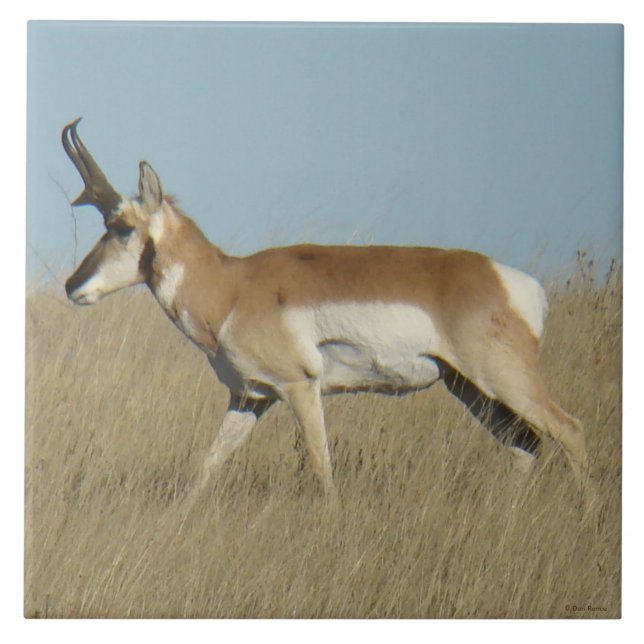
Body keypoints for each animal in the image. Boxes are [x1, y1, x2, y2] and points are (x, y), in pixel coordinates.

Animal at [61, 118, 588, 505]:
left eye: (121, 226)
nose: (71, 285)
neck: (233, 285)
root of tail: (515, 281)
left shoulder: (300, 387)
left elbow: (320, 466)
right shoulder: (250, 398)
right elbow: (208, 464)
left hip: (502, 380)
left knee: (569, 429)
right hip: (469, 388)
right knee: (525, 444)